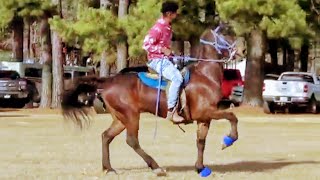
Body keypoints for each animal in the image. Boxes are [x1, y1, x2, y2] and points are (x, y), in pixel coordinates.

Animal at [60, 26, 245, 176]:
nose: (243, 50)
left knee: (106, 136)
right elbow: (232, 117)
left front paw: (200, 168)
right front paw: (228, 140)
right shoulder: (207, 112)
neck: (205, 76)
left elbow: (201, 142)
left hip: (120, 118)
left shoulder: (204, 118)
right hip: (131, 116)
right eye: (226, 33)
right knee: (132, 141)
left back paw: (109, 168)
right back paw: (156, 167)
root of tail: (108, 81)